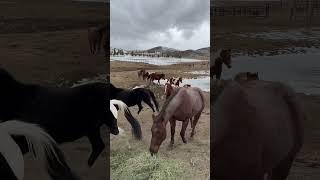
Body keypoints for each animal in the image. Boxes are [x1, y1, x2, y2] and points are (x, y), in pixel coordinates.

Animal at [0, 68, 141, 168]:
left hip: (101, 125)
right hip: (93, 129)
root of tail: (112, 89)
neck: (19, 99)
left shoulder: (24, 139)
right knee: (100, 144)